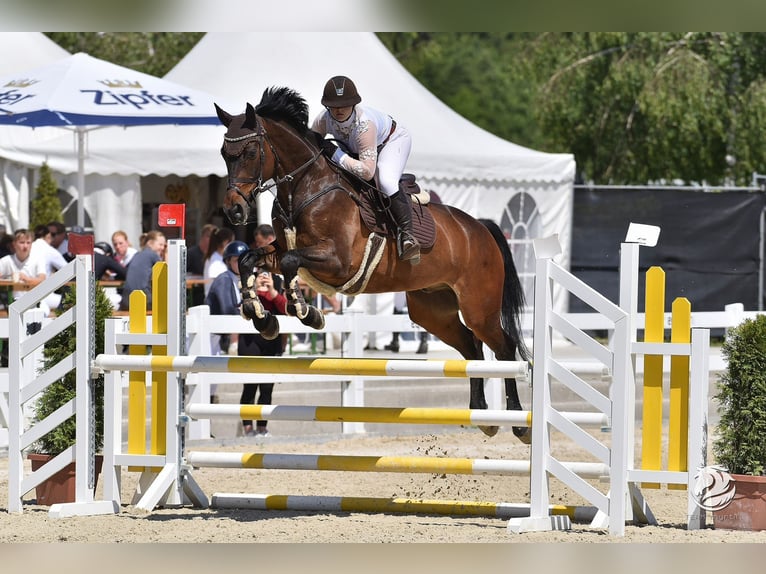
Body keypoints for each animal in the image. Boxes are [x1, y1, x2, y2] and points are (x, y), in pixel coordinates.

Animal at [213, 88, 532, 444]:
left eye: (251, 151)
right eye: (225, 153)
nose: (234, 211)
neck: (305, 188)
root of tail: (480, 228)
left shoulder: (338, 262)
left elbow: (293, 264)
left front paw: (307, 313)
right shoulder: (281, 250)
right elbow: (248, 260)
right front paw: (261, 317)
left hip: (479, 307)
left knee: (503, 347)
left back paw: (518, 423)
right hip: (433, 310)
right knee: (471, 346)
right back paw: (482, 414)